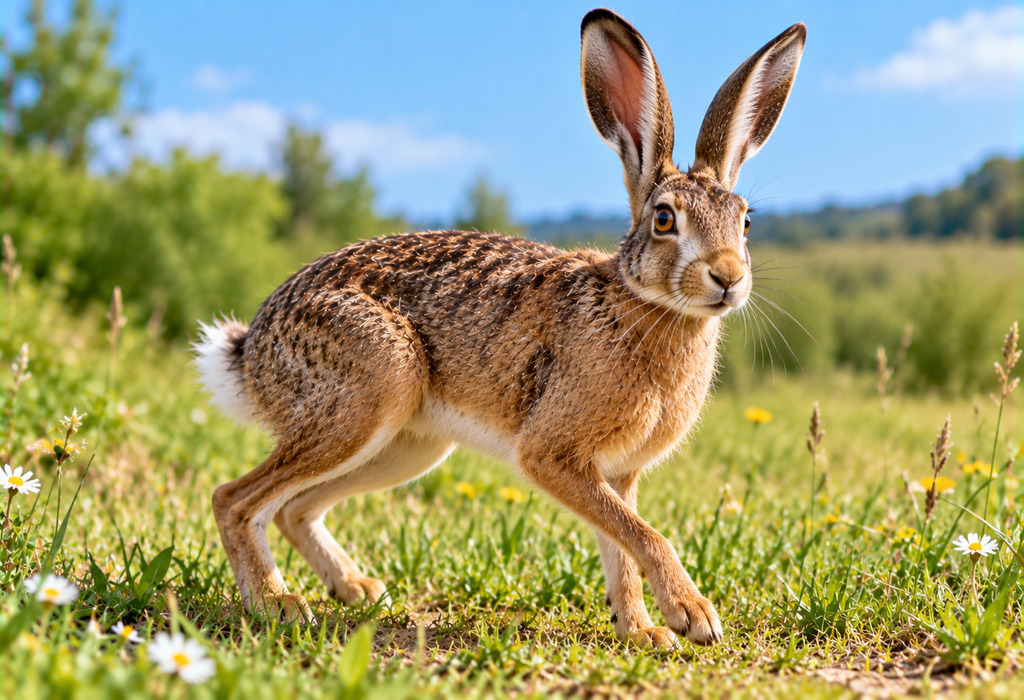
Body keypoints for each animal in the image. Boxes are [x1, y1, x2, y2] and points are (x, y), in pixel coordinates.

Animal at [195, 8, 805, 649]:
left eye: (745, 220)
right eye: (664, 220)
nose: (728, 277)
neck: (643, 303)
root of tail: (251, 352)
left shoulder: (617, 472)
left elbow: (621, 548)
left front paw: (642, 632)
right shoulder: (553, 455)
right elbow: (643, 534)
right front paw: (692, 615)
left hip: (407, 444)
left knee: (294, 507)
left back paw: (356, 588)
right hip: (371, 386)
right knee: (234, 500)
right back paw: (276, 603)